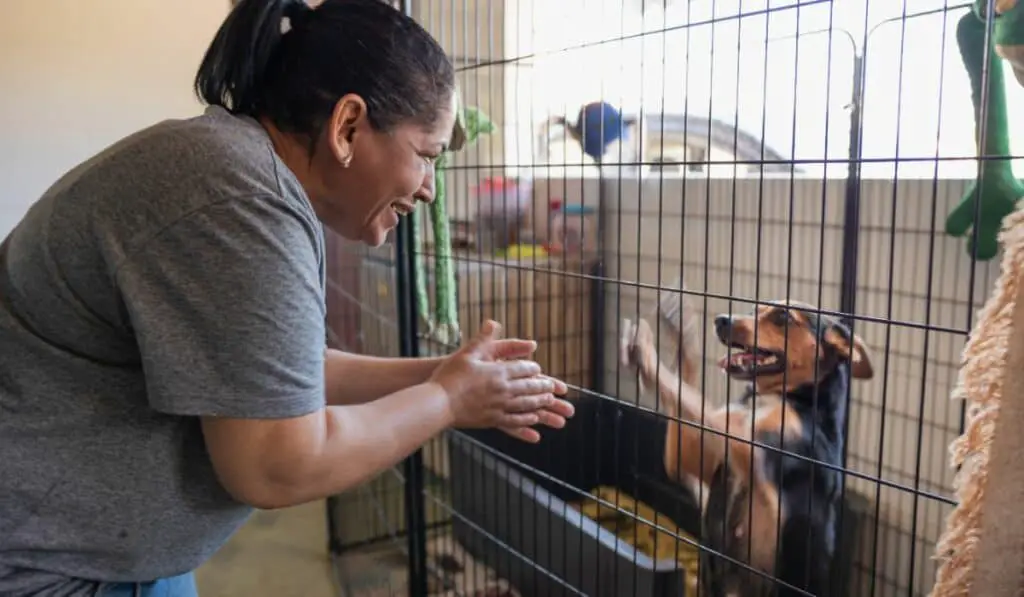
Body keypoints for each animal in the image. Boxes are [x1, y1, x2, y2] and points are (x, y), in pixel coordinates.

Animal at [622, 292, 872, 597]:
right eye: (755, 310)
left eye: (783, 317)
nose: (721, 320)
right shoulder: (685, 457)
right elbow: (688, 386)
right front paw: (681, 329)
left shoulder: (751, 448)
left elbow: (694, 399)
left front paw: (646, 351)